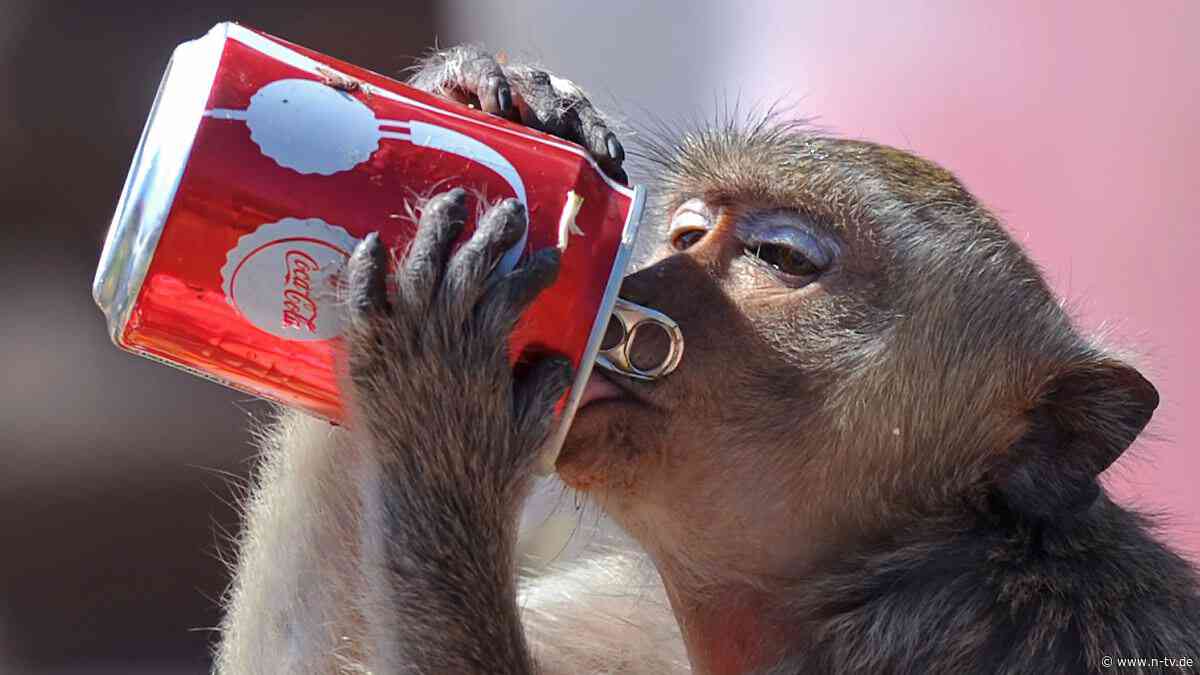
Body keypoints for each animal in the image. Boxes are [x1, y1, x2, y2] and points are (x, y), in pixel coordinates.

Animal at [213, 44, 1200, 674]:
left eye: (782, 258)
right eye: (686, 233)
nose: (635, 282)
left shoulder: (979, 632)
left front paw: (444, 405)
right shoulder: (635, 623)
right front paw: (480, 101)